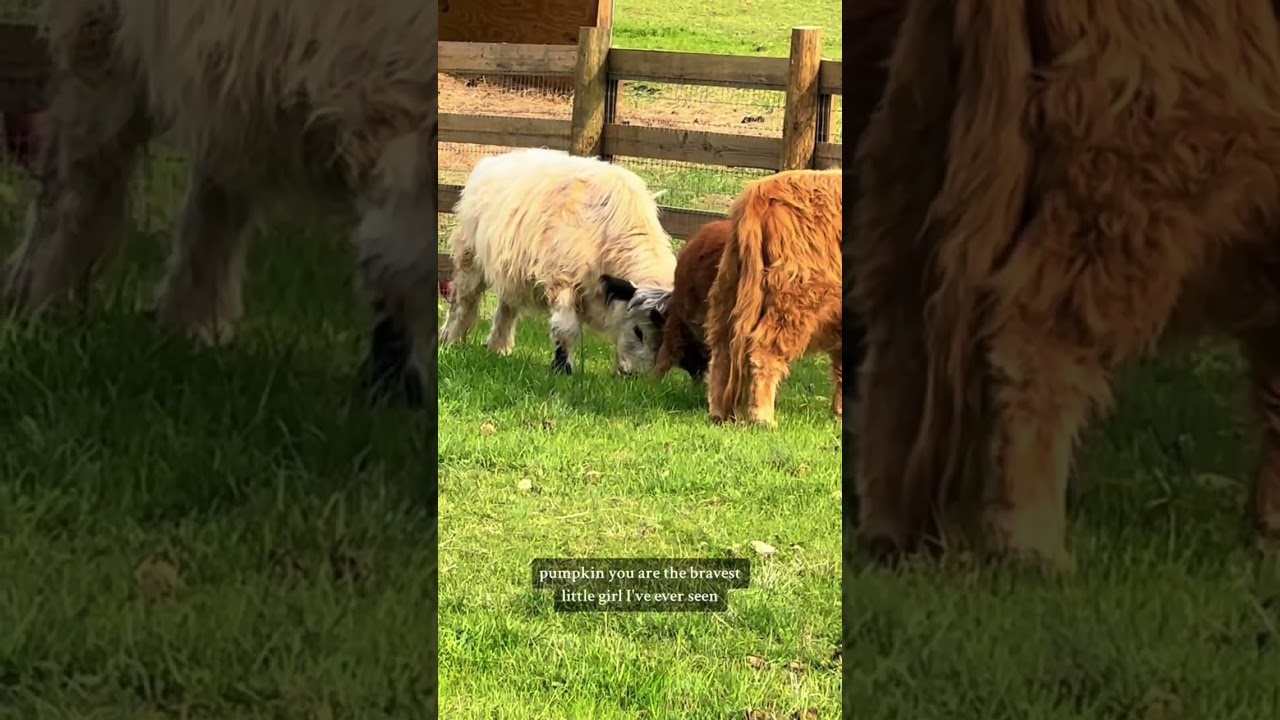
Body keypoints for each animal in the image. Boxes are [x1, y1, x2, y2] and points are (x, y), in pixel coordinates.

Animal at [2, 0, 438, 407]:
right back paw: (39, 305)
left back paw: (190, 324)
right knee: (79, 168)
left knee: (217, 187)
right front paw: (401, 387)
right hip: (103, 36)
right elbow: (404, 262)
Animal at [439, 148, 676, 376]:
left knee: (506, 308)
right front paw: (563, 369)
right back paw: (450, 340)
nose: (634, 377)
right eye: (638, 331)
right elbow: (566, 329)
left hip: (510, 271)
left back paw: (498, 348)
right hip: (469, 259)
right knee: (462, 302)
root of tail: (493, 161)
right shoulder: (562, 282)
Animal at [851, 0, 1280, 570]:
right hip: (1124, 187)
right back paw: (1032, 546)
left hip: (920, 147)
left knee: (902, 334)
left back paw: (889, 529)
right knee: (1035, 341)